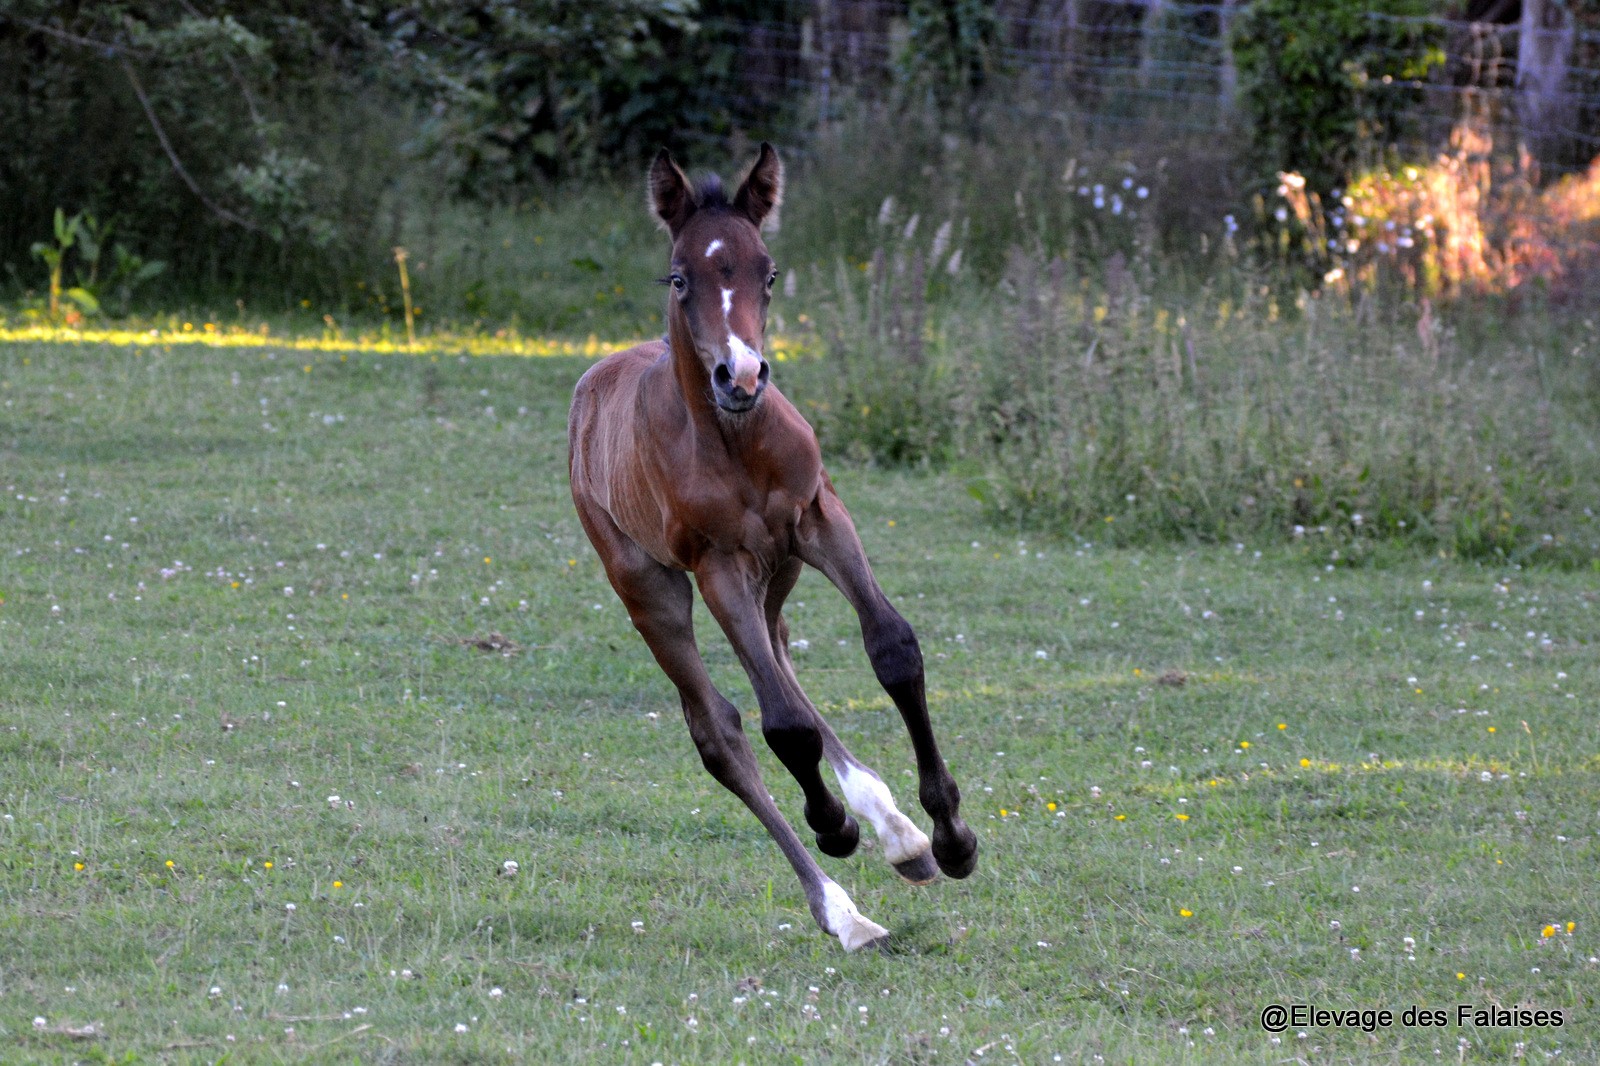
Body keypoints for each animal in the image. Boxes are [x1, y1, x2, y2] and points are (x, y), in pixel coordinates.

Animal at [569, 140, 979, 947]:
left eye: (769, 271)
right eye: (680, 276)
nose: (743, 375)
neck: (737, 445)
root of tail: (591, 384)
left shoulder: (821, 517)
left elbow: (893, 649)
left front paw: (950, 838)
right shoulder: (716, 565)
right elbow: (781, 726)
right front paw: (833, 826)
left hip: (778, 571)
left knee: (784, 656)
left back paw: (898, 832)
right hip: (655, 588)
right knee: (722, 732)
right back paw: (844, 908)